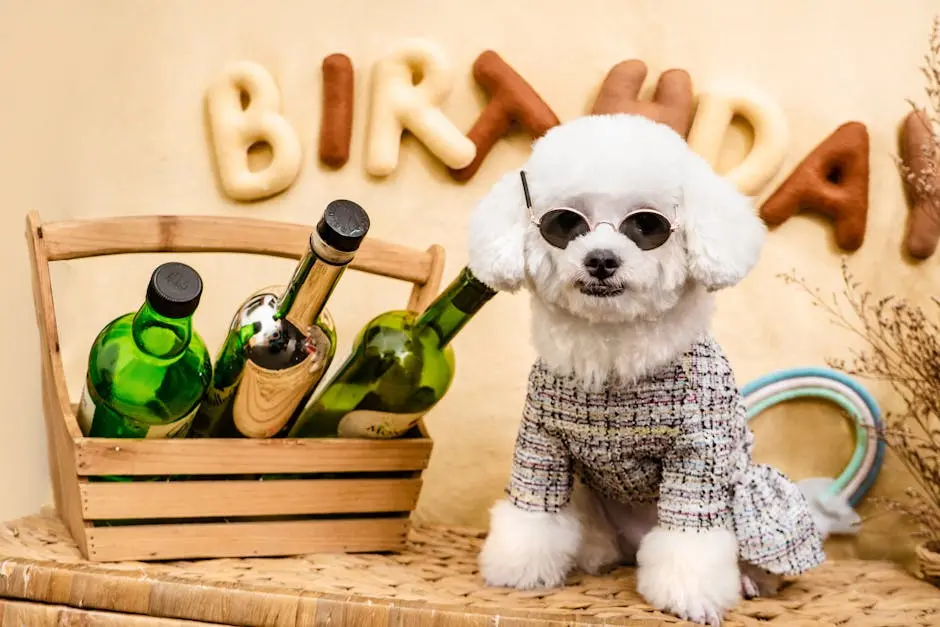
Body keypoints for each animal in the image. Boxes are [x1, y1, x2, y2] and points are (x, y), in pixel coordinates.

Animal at [462, 115, 836, 624]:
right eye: (566, 222)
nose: (601, 259)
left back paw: (749, 581)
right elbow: (533, 513)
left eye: (645, 224)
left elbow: (690, 542)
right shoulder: (543, 441)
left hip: (753, 489)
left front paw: (689, 595)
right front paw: (519, 569)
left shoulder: (697, 453)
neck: (612, 348)